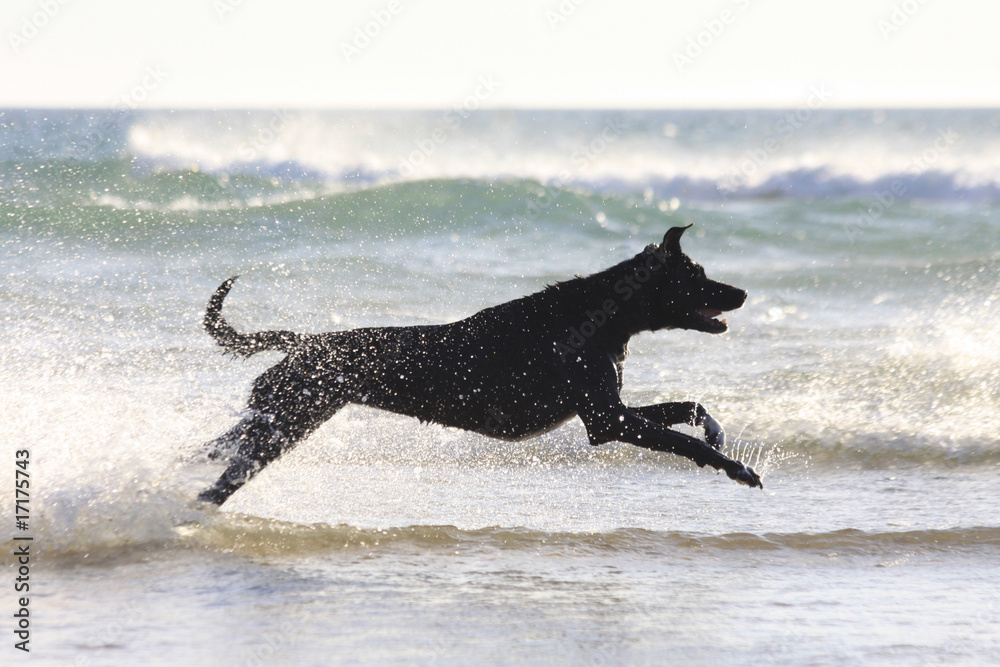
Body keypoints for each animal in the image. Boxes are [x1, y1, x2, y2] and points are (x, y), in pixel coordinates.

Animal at [195, 226, 760, 506]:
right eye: (697, 275)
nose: (743, 293)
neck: (602, 314)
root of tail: (303, 342)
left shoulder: (610, 413)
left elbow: (691, 408)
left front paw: (716, 432)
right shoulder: (608, 421)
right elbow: (684, 441)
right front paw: (735, 468)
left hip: (276, 418)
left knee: (215, 450)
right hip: (286, 425)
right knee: (220, 481)